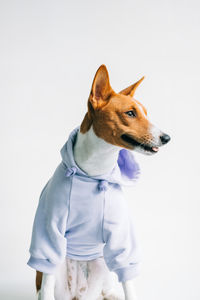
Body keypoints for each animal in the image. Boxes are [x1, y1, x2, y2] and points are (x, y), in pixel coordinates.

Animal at [28, 64, 171, 298]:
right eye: (130, 113)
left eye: (146, 113)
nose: (167, 138)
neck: (94, 171)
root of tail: (78, 294)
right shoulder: (50, 231)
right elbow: (47, 280)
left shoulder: (121, 237)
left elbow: (129, 281)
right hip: (59, 265)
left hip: (102, 262)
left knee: (106, 289)